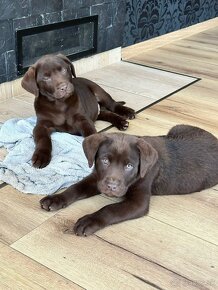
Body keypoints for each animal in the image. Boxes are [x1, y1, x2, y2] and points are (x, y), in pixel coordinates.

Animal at [39, 124, 218, 236]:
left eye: (129, 166)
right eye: (105, 160)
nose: (111, 186)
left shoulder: (138, 202)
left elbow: (110, 209)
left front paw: (89, 220)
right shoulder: (97, 178)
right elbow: (75, 188)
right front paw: (55, 198)